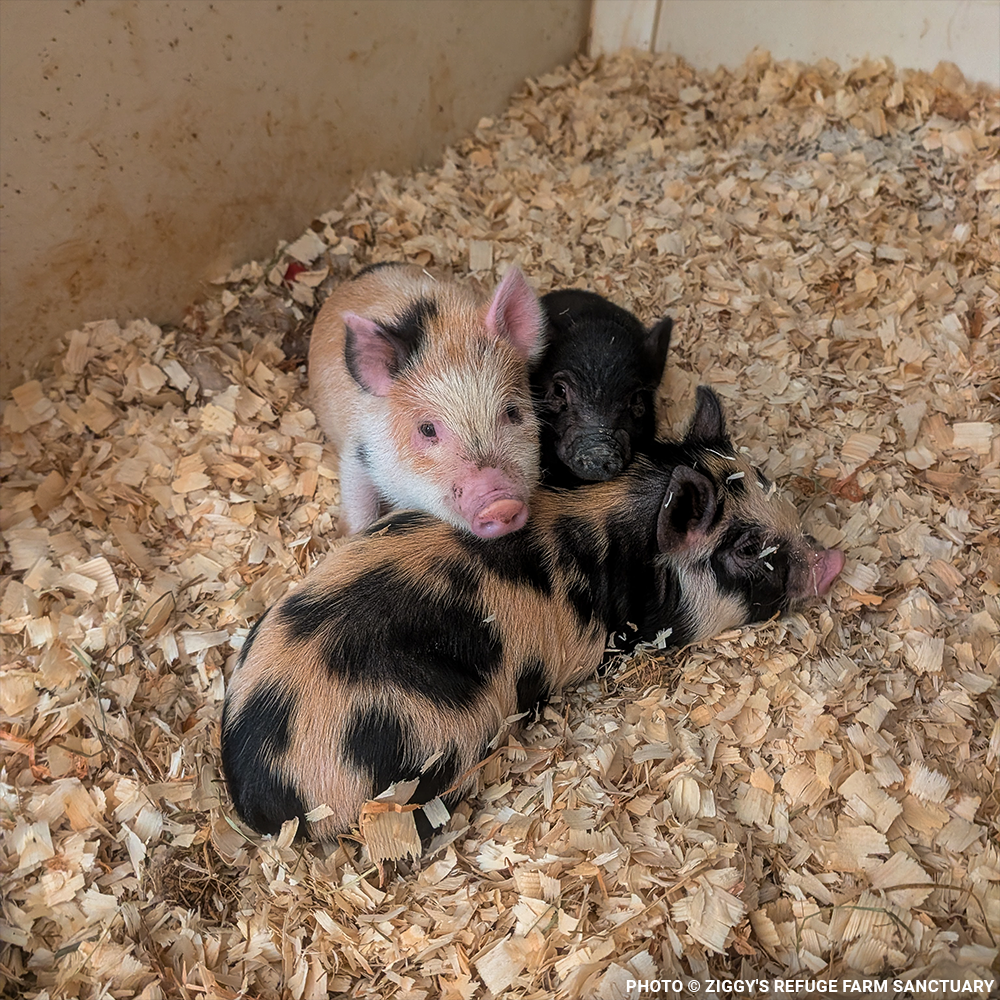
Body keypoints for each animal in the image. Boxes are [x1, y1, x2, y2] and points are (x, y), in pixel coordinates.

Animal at [308, 261, 545, 538]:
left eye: (512, 411)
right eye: (427, 429)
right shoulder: (357, 452)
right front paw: (350, 536)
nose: (501, 504)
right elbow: (358, 502)